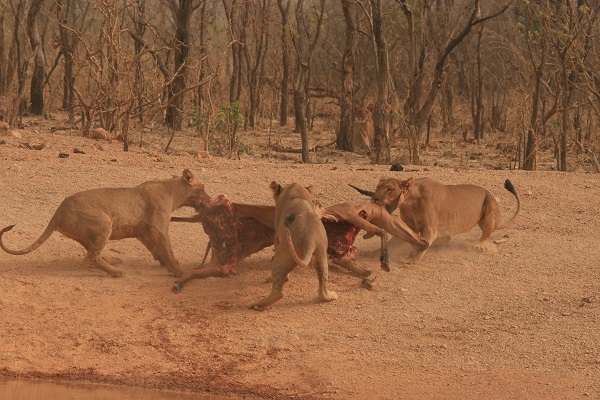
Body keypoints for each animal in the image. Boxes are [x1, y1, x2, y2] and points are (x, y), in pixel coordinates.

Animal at [0, 170, 210, 278]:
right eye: (203, 188)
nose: (209, 199)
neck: (173, 191)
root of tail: (57, 213)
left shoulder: (143, 231)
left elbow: (156, 248)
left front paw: (165, 263)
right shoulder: (159, 226)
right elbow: (168, 248)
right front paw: (178, 271)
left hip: (88, 233)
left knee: (90, 254)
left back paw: (111, 263)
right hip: (104, 223)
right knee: (91, 257)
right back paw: (116, 272)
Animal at [250, 182, 340, 312]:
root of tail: (310, 238)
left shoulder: (277, 236)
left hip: (284, 252)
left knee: (279, 291)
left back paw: (257, 305)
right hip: (321, 253)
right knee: (322, 286)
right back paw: (332, 296)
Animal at [352, 177, 520, 264]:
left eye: (389, 189)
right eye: (377, 187)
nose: (374, 198)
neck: (410, 203)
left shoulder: (429, 229)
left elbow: (422, 243)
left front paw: (411, 259)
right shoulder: (409, 227)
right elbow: (394, 241)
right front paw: (374, 253)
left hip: (489, 207)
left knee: (486, 233)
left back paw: (480, 246)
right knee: (447, 238)